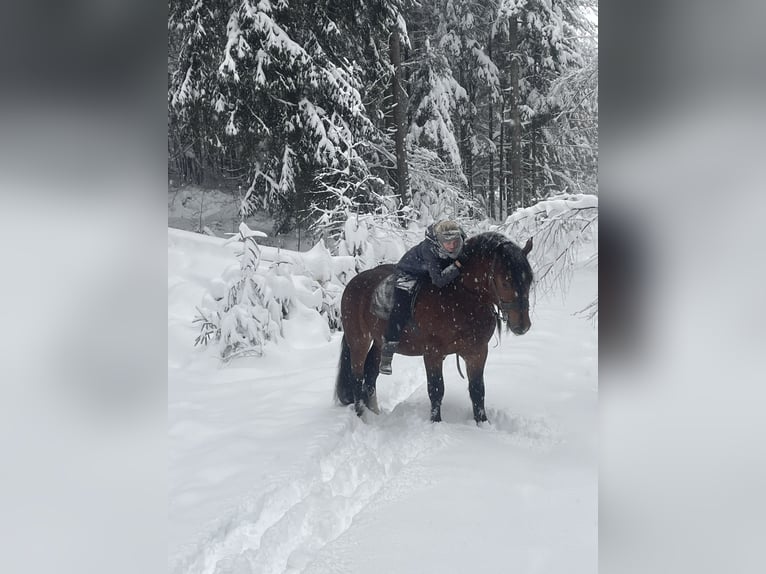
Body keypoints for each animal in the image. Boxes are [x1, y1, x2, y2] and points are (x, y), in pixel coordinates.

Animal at [336, 232, 536, 426]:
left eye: (529, 281)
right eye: (505, 282)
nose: (522, 326)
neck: (460, 296)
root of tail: (353, 283)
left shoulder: (477, 352)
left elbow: (477, 390)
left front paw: (483, 424)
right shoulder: (433, 353)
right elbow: (436, 390)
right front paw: (436, 424)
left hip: (379, 342)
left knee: (370, 374)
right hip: (359, 341)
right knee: (357, 378)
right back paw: (362, 417)